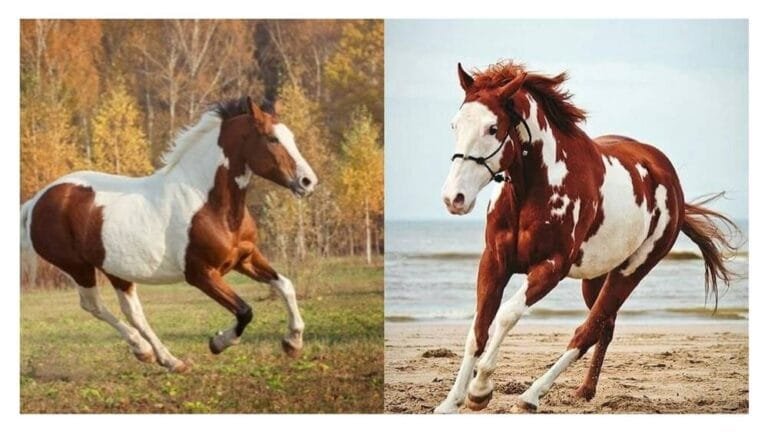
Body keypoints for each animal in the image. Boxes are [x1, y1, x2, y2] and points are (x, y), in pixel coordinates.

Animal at [20, 96, 318, 372]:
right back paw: (144, 350)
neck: (207, 202)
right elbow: (245, 311)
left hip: (116, 270)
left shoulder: (245, 258)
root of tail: (37, 200)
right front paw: (218, 342)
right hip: (78, 267)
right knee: (93, 305)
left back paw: (166, 359)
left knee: (133, 312)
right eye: (272, 139)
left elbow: (285, 285)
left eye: (291, 137)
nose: (308, 182)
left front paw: (292, 343)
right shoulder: (201, 274)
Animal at [435, 61, 738, 413]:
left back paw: (531, 396)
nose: (454, 198)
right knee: (605, 327)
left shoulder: (551, 268)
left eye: (492, 128)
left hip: (631, 271)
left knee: (588, 330)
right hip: (595, 277)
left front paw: (481, 389)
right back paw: (584, 391)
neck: (533, 189)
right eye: (455, 125)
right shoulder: (494, 262)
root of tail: (671, 184)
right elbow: (478, 329)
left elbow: (506, 315)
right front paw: (451, 401)